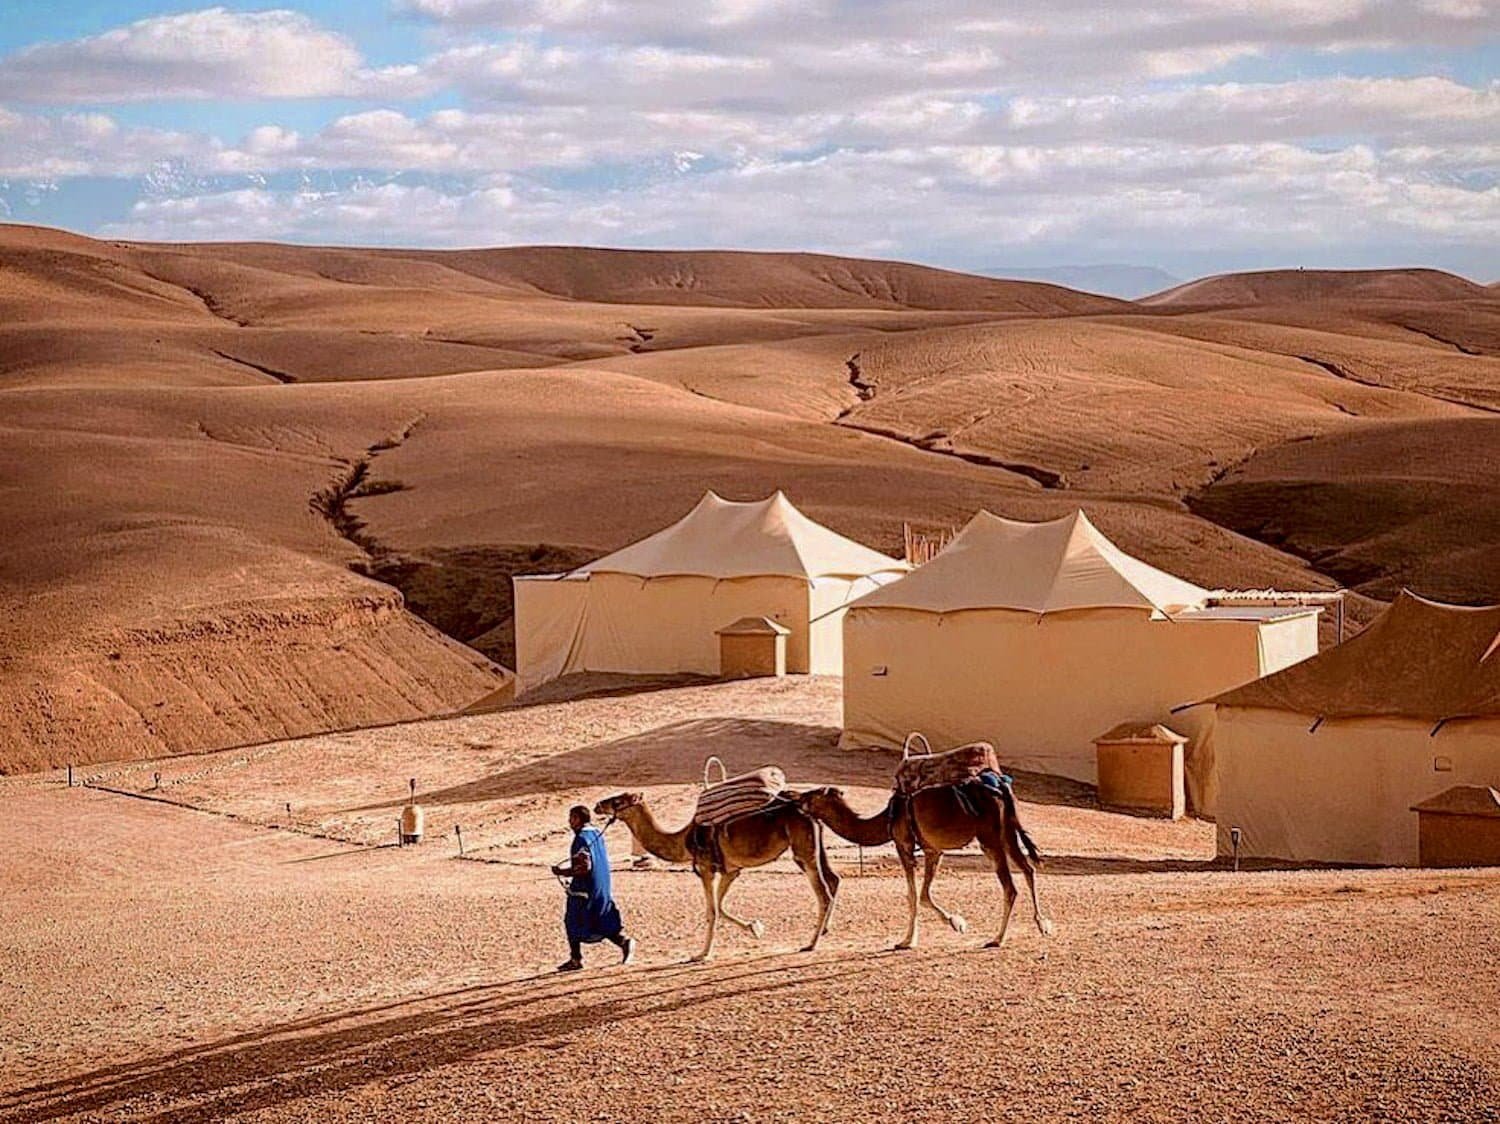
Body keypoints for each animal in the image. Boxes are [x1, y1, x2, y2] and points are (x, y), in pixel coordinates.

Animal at [591, 786, 840, 960]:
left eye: (617, 801)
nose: (597, 805)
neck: (683, 839)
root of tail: (809, 812)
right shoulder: (731, 871)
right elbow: (720, 907)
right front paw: (755, 928)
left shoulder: (706, 868)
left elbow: (711, 911)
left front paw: (701, 954)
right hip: (815, 847)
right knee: (833, 880)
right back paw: (824, 931)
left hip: (803, 851)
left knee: (823, 892)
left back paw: (810, 944)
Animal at [798, 786, 1056, 954]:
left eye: (811, 795)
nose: (795, 798)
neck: (886, 819)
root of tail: (1001, 794)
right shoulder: (933, 850)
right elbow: (923, 895)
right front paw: (955, 922)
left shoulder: (903, 845)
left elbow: (912, 896)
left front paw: (907, 941)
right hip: (1007, 833)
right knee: (1028, 869)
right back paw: (1043, 924)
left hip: (989, 838)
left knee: (1010, 886)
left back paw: (997, 939)